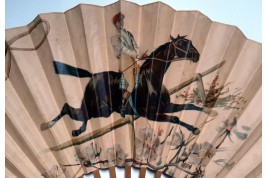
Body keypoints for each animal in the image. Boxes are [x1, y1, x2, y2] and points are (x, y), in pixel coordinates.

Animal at [40, 35, 216, 138]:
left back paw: (77, 131)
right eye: (181, 43)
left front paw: (210, 111)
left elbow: (189, 106)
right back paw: (48, 125)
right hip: (95, 108)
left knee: (81, 115)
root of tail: (93, 75)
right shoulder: (151, 114)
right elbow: (175, 118)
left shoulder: (166, 105)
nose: (196, 55)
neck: (152, 81)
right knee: (68, 108)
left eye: (189, 42)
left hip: (101, 111)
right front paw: (195, 128)